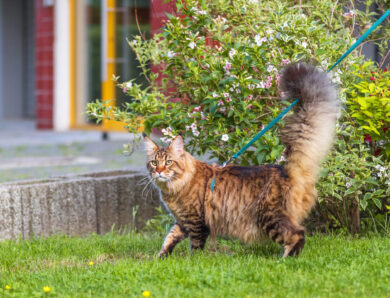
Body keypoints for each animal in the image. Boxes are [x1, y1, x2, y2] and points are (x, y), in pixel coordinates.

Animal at [142, 61, 338, 258]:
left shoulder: (197, 222)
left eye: (168, 162)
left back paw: (284, 260)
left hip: (269, 216)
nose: (159, 171)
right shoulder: (181, 222)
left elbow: (195, 246)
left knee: (298, 234)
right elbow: (169, 238)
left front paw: (192, 260)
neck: (174, 188)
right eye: (154, 163)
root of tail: (285, 170)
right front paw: (160, 258)